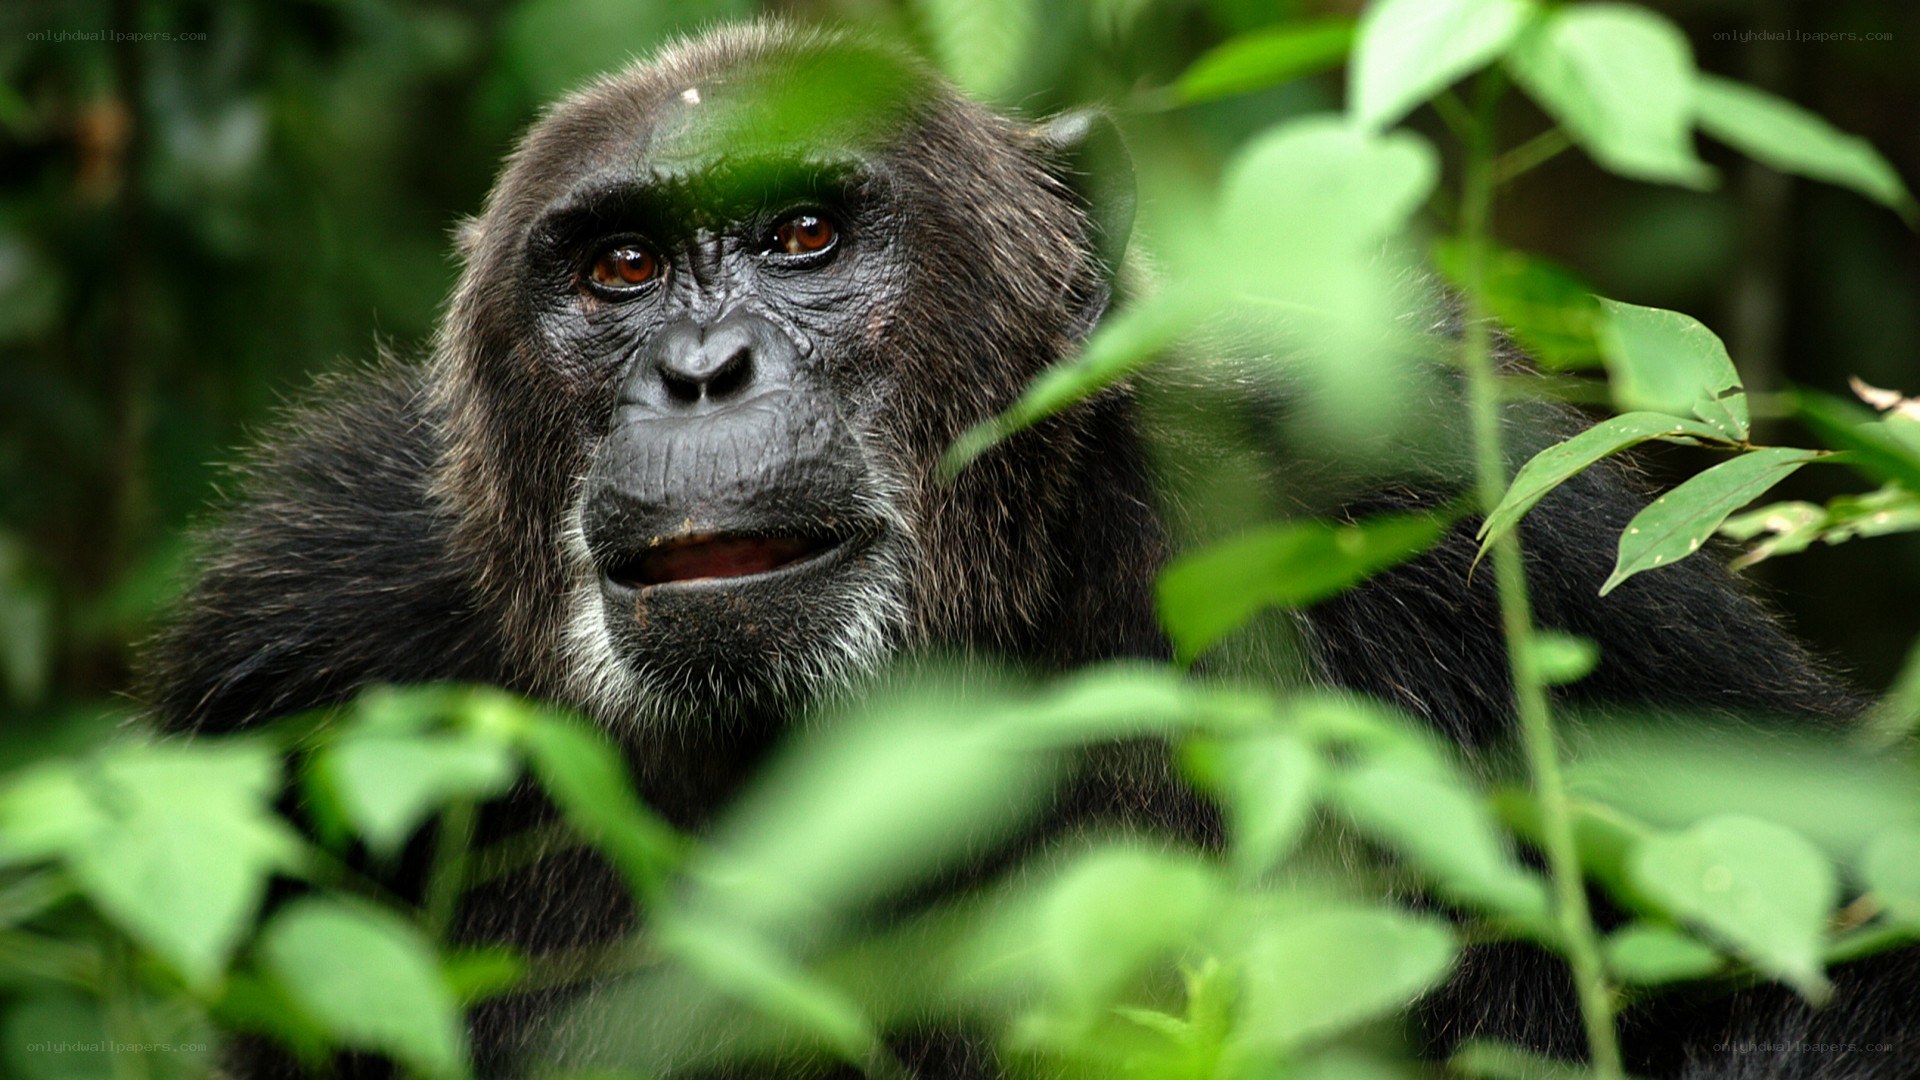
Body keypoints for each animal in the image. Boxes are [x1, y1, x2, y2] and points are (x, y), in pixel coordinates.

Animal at [141, 20, 1915, 1080]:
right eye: (621, 269)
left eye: (805, 235)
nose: (703, 371)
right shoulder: (313, 618)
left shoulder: (1452, 517)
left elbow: (1821, 947)